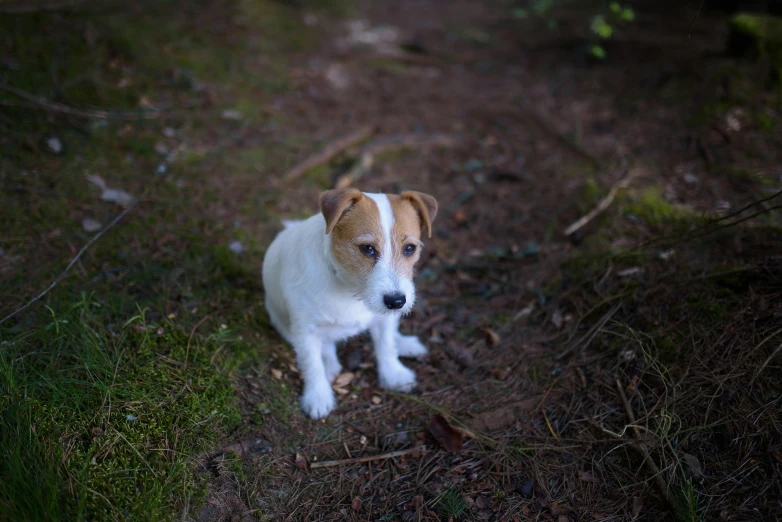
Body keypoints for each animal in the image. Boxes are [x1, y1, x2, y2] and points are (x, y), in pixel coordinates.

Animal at [262, 188, 434, 418]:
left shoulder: (383, 320)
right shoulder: (305, 331)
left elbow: (386, 346)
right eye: (367, 248)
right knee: (324, 348)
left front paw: (394, 374)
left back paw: (405, 344)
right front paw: (318, 396)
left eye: (409, 248)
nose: (397, 301)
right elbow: (312, 365)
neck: (351, 289)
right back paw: (330, 364)